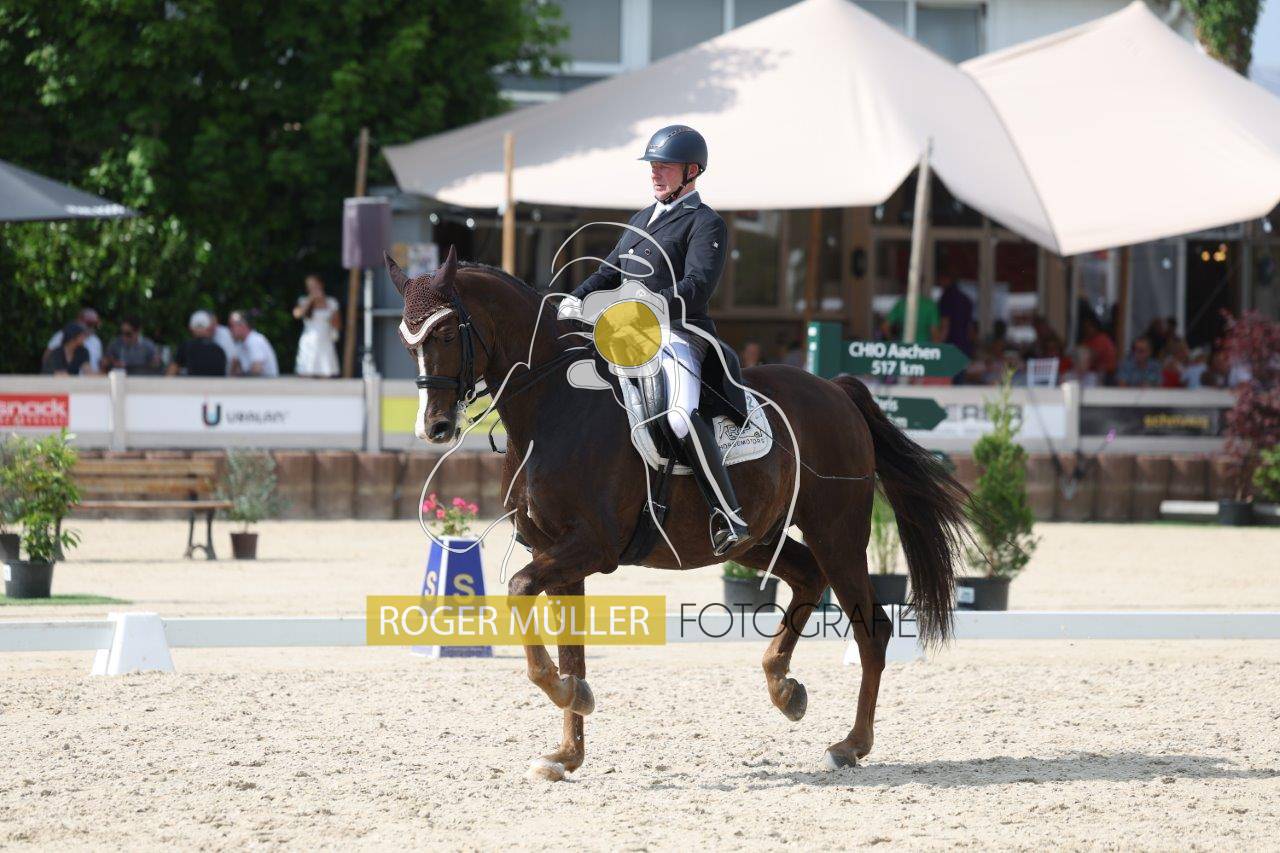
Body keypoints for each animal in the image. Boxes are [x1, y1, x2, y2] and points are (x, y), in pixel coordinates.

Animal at [386, 246, 969, 780]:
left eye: (445, 334)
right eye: (406, 341)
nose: (434, 427)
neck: (553, 407)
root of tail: (836, 390)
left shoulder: (590, 546)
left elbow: (518, 590)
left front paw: (569, 695)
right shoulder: (558, 554)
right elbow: (571, 647)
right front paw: (568, 747)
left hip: (837, 533)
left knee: (871, 629)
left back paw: (849, 745)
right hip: (759, 539)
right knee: (806, 577)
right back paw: (785, 688)